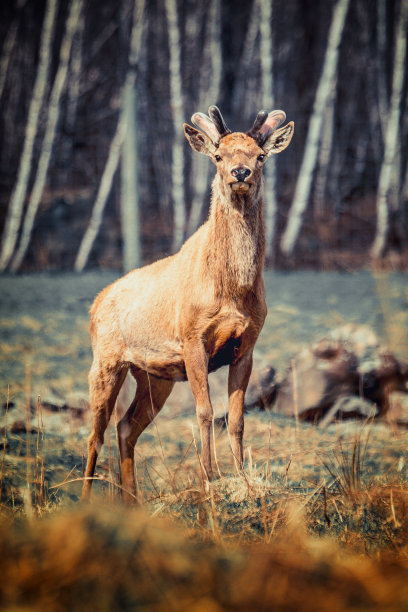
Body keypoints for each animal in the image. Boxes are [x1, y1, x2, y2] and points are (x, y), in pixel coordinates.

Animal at [83, 106, 294, 502]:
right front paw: (209, 478)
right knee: (95, 434)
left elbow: (237, 418)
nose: (240, 172)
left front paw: (241, 479)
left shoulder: (246, 346)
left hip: (154, 376)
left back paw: (132, 501)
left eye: (260, 156)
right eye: (218, 156)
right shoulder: (193, 338)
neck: (232, 292)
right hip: (106, 361)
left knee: (125, 427)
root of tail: (95, 305)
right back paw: (87, 497)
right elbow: (205, 412)